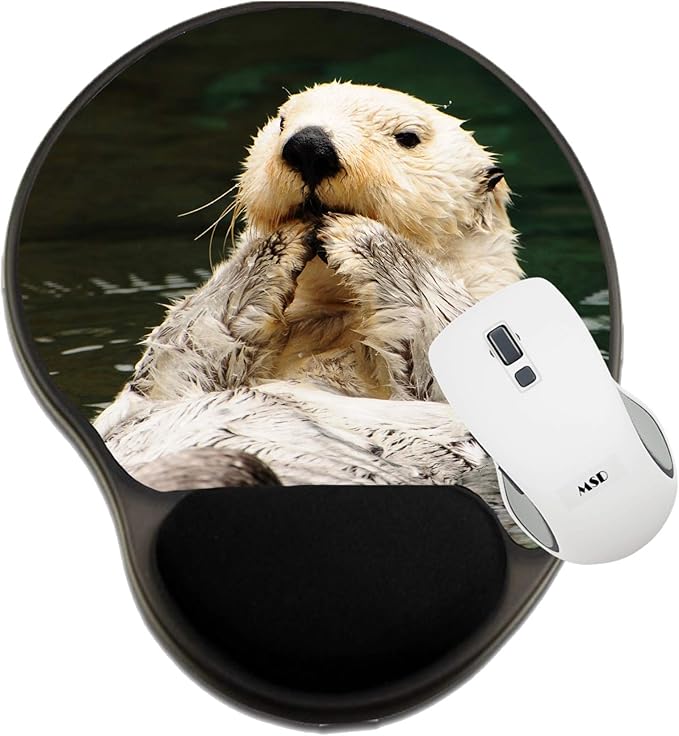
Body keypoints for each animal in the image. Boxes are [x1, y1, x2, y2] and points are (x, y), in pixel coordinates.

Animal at [95, 82, 530, 544]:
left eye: (408, 137)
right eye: (283, 121)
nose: (309, 145)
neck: (335, 325)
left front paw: (364, 238)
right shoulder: (164, 384)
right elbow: (174, 358)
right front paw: (275, 244)